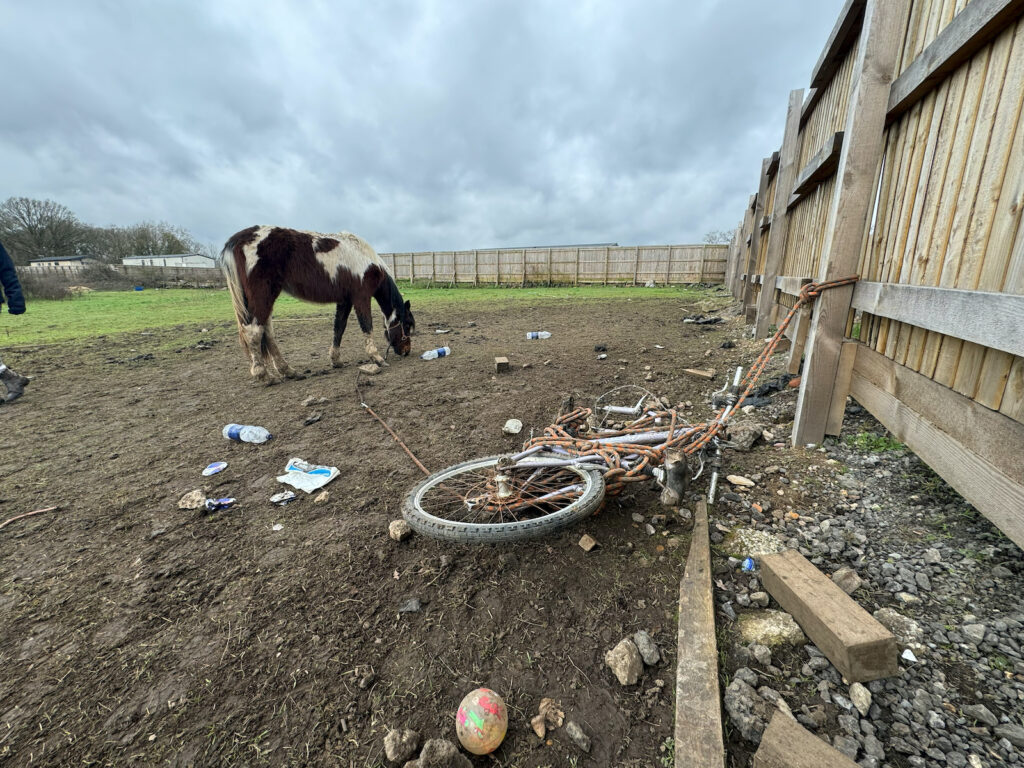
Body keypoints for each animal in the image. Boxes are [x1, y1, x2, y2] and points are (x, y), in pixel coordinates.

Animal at [218, 227, 413, 385]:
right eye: (408, 325)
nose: (406, 351)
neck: (365, 259)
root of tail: (240, 239)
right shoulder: (361, 298)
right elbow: (366, 326)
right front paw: (377, 358)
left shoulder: (345, 301)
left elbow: (339, 328)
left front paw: (336, 360)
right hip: (263, 296)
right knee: (254, 332)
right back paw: (265, 376)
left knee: (268, 333)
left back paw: (288, 371)